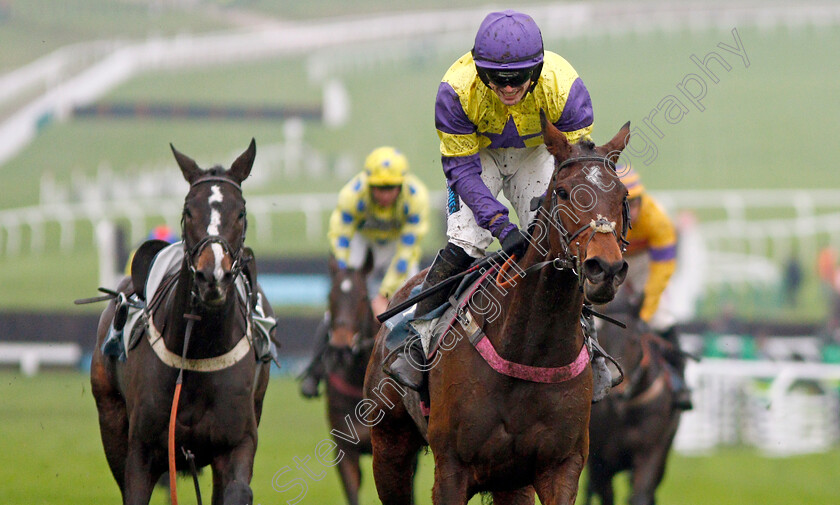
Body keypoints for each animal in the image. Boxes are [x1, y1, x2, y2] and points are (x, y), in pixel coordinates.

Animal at [92, 139, 276, 504]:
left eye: (240, 213)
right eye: (189, 210)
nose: (212, 276)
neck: (199, 349)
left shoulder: (237, 442)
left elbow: (237, 489)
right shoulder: (142, 451)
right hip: (110, 414)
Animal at [360, 118, 632, 504]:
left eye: (623, 196)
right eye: (564, 192)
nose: (605, 269)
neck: (530, 350)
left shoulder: (561, 467)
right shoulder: (451, 469)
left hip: (511, 484)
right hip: (389, 446)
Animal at [584, 294, 684, 504]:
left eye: (634, 340)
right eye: (603, 336)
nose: (617, 391)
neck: (626, 410)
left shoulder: (650, 453)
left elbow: (640, 495)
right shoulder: (599, 462)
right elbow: (605, 495)